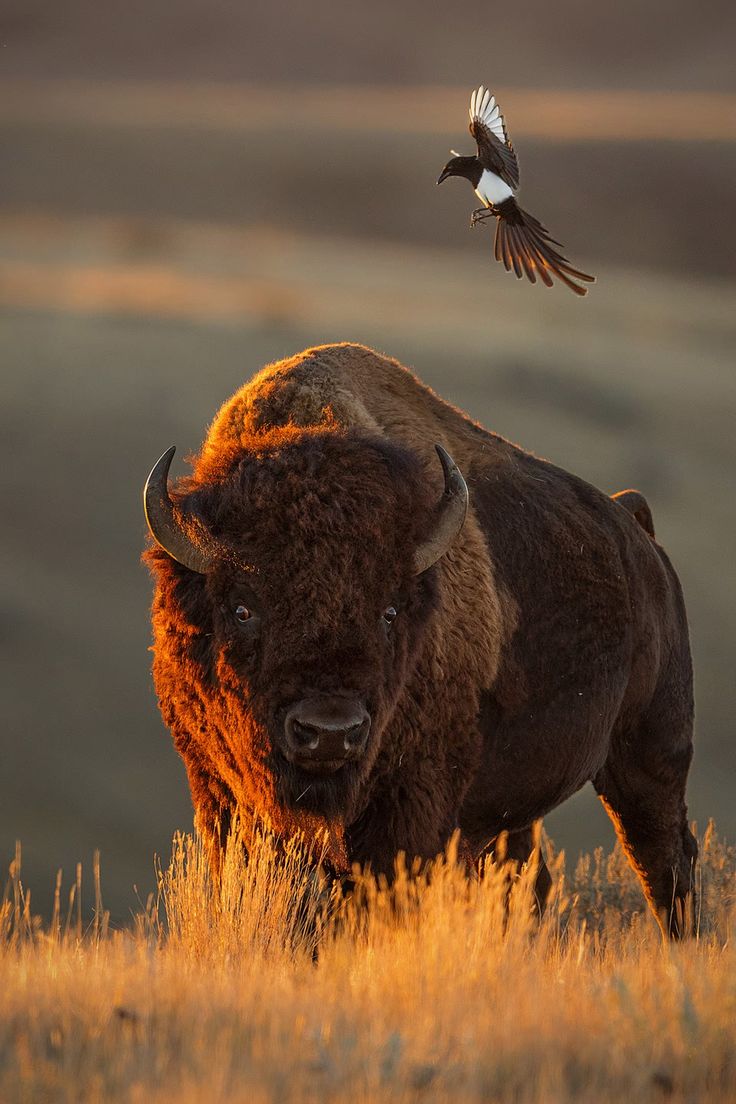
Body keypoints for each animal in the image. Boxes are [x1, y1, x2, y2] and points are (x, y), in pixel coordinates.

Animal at [142, 340, 697, 936]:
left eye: (389, 610)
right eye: (243, 608)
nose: (330, 732)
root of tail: (638, 531)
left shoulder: (411, 807)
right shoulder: (219, 792)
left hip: (651, 755)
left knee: (664, 860)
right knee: (532, 878)